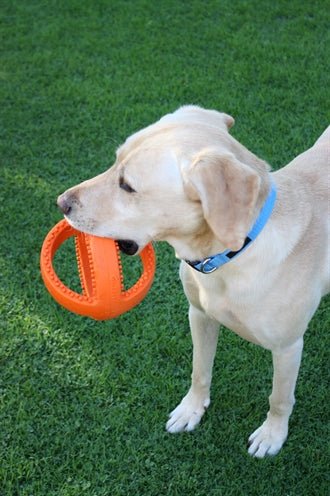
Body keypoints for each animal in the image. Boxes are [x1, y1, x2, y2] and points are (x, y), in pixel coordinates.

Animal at [58, 107, 328, 458]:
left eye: (127, 186)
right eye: (115, 161)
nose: (61, 202)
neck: (231, 256)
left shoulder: (288, 347)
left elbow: (279, 398)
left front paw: (272, 434)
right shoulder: (199, 315)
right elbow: (200, 370)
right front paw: (191, 410)